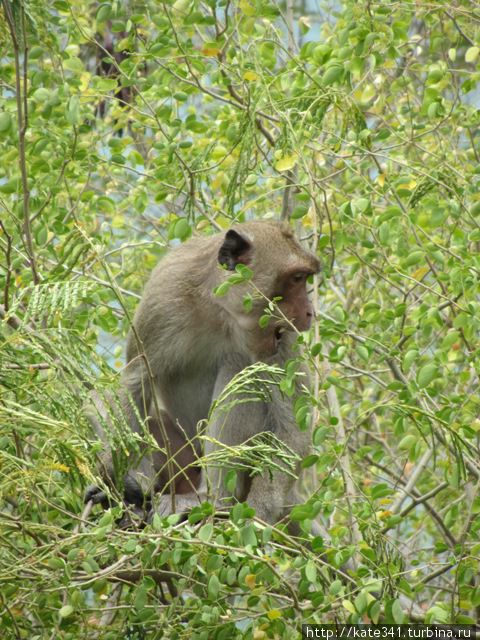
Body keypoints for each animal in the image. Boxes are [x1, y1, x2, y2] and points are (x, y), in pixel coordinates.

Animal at [86, 220, 318, 528]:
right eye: (296, 278)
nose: (309, 312)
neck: (220, 310)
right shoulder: (163, 298)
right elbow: (132, 386)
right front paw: (122, 483)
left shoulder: (283, 338)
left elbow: (293, 430)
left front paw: (258, 514)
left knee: (238, 368)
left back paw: (211, 500)